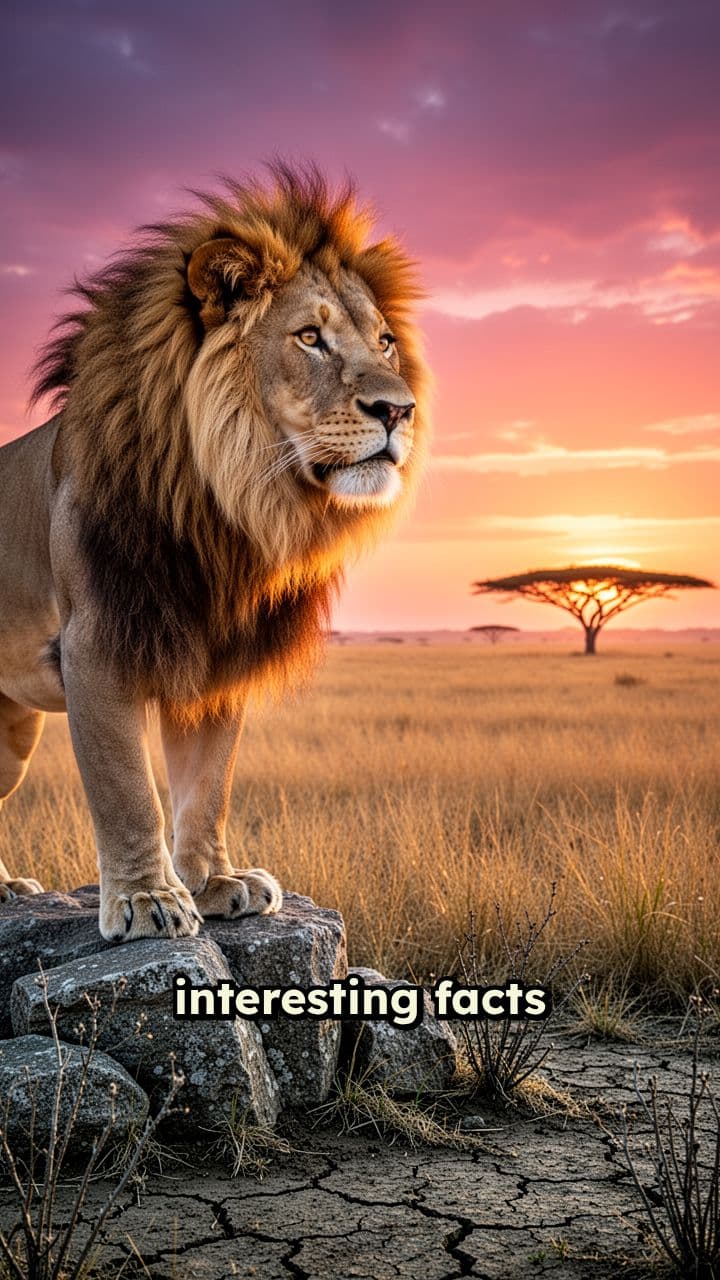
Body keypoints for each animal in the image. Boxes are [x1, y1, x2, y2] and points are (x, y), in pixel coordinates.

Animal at [0, 164, 429, 941]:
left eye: (385, 341)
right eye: (310, 336)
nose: (399, 410)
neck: (223, 510)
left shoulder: (216, 658)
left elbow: (206, 786)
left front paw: (214, 884)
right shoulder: (96, 644)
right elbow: (127, 790)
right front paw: (146, 899)